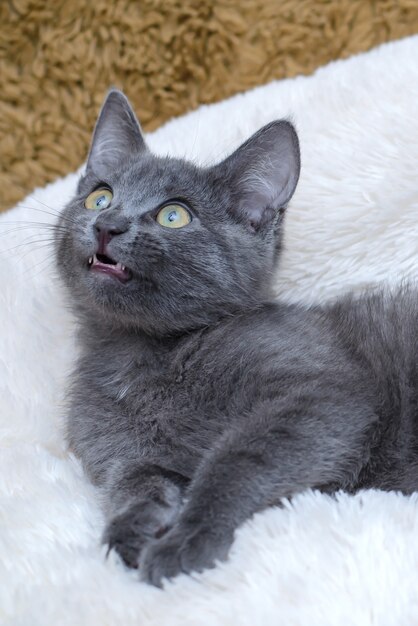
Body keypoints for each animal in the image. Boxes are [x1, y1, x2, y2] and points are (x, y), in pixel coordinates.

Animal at [55, 90, 418, 584]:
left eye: (174, 215)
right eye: (100, 196)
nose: (108, 224)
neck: (141, 353)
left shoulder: (324, 392)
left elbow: (238, 460)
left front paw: (188, 540)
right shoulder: (122, 446)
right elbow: (138, 481)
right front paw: (131, 530)